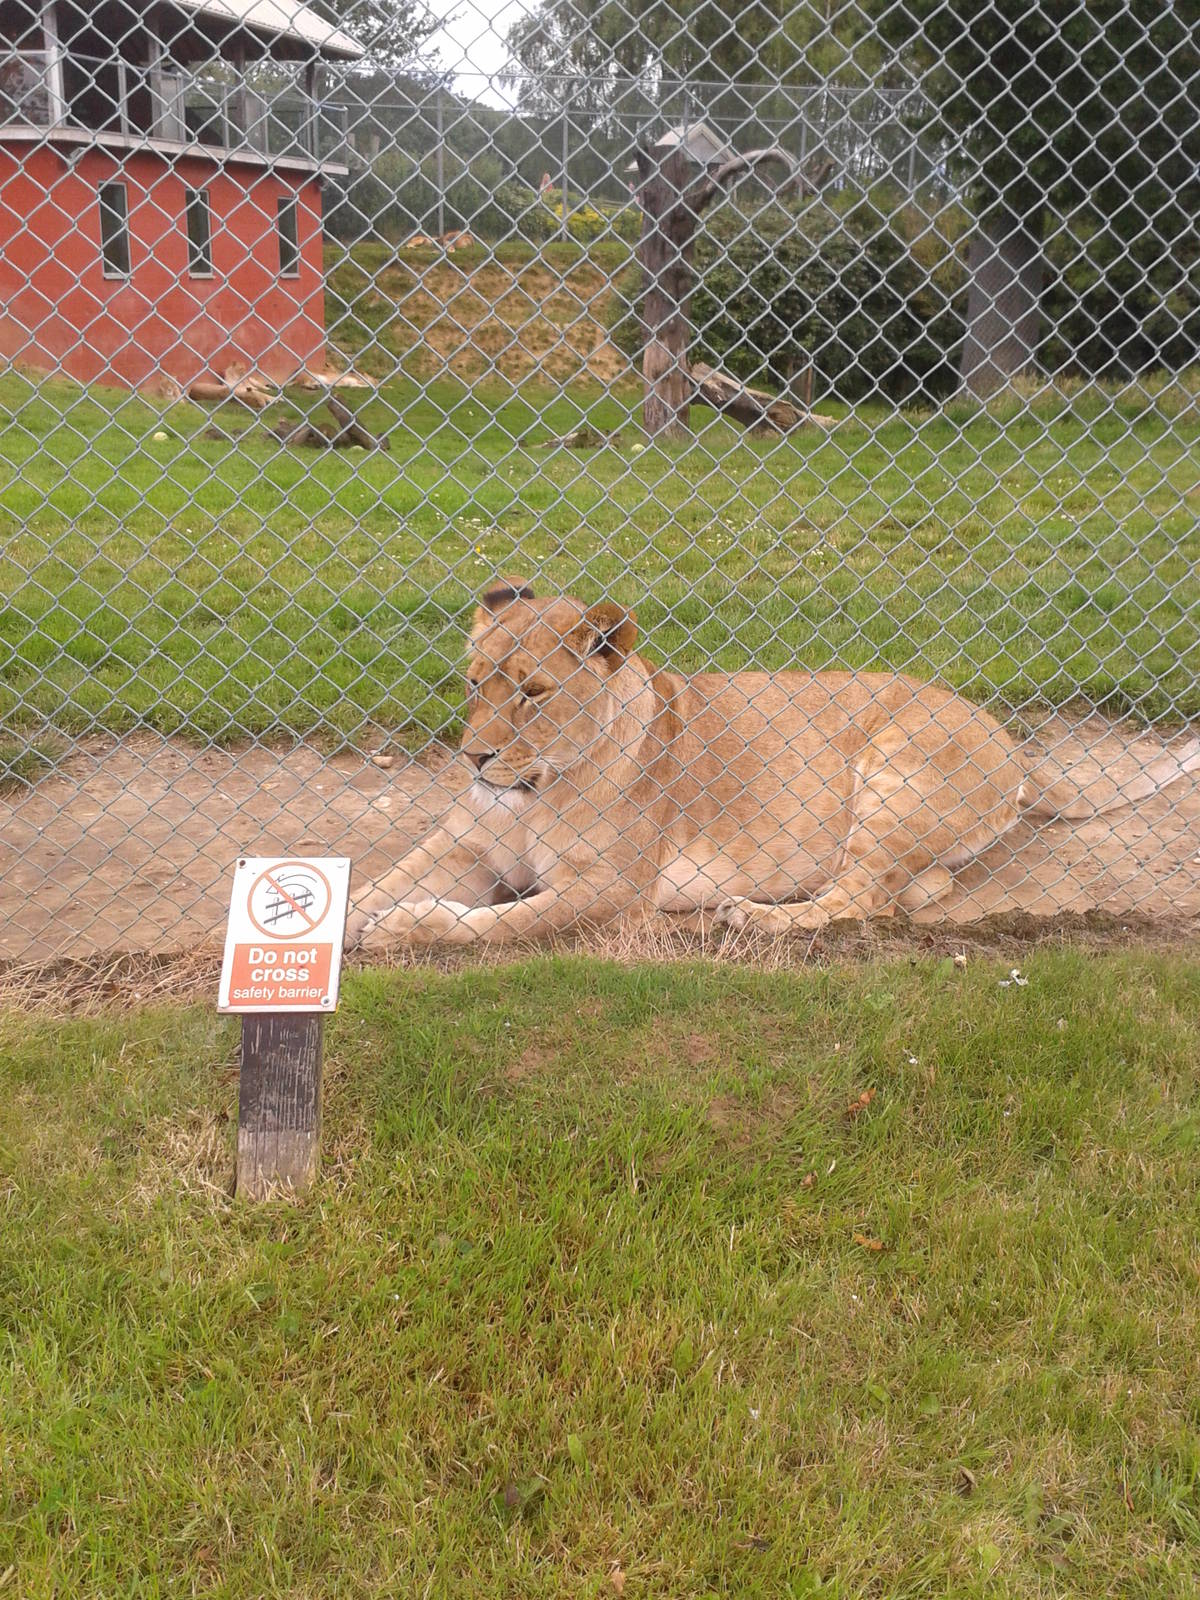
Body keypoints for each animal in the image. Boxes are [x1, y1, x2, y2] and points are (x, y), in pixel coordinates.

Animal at [345, 579, 1199, 951]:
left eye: (532, 693)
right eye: (474, 683)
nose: (473, 756)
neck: (535, 788)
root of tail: (1006, 734)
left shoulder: (608, 891)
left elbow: (496, 924)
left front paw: (406, 928)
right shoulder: (459, 846)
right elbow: (376, 884)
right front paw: (340, 922)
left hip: (894, 775)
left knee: (859, 899)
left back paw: (750, 914)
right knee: (903, 891)